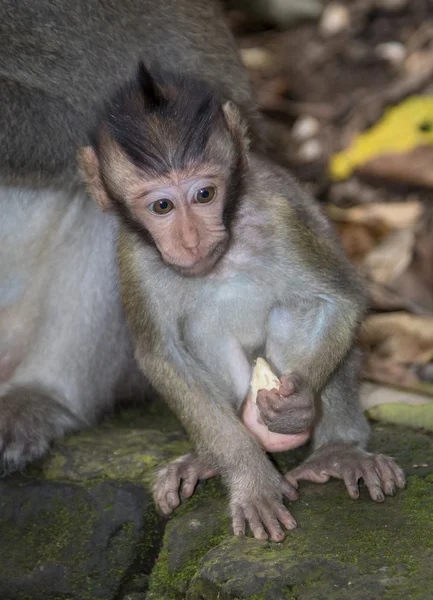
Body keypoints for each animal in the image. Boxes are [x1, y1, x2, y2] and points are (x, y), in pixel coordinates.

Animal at [80, 63, 404, 540]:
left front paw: (298, 406)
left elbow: (340, 298)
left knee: (301, 309)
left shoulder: (279, 213)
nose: (190, 239)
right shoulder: (132, 257)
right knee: (199, 330)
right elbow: (162, 354)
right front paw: (251, 478)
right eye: (161, 206)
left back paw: (336, 452)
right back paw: (205, 459)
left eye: (205, 194)